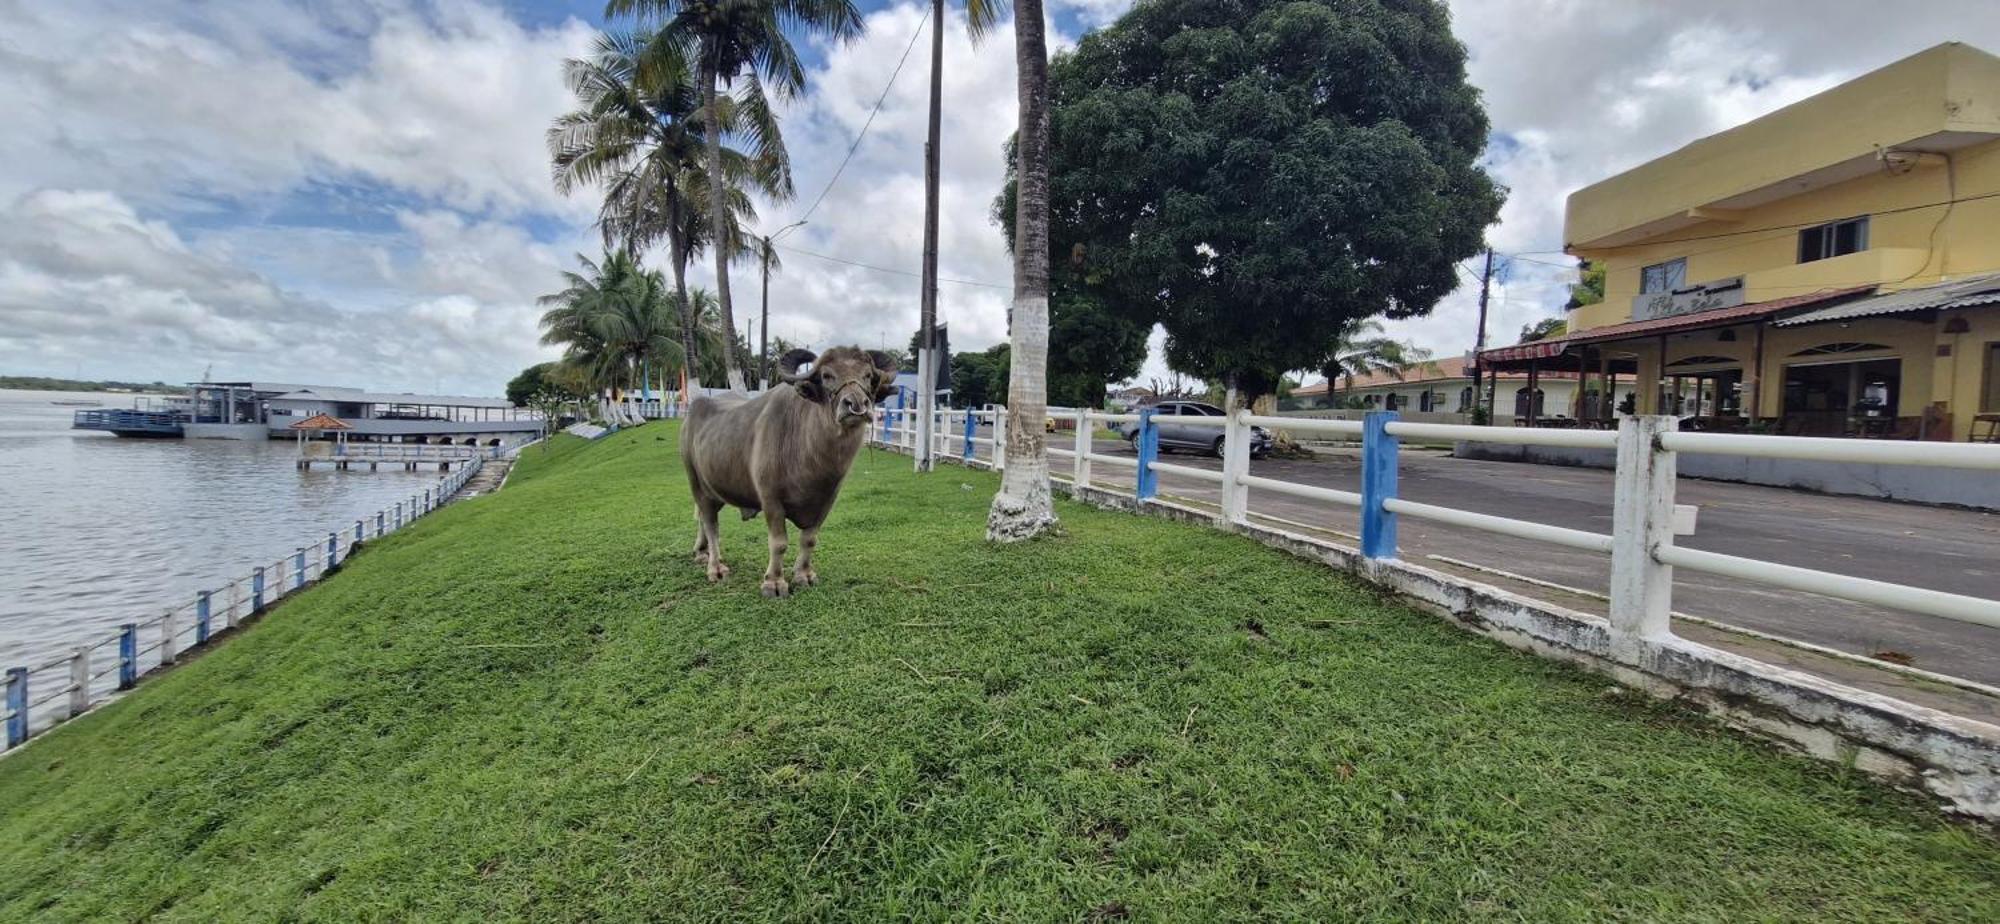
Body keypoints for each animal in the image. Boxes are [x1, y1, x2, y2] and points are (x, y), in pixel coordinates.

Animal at [680, 346, 900, 600]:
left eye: (867, 375)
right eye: (826, 375)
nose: (856, 404)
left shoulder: (826, 500)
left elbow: (809, 539)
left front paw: (804, 575)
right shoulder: (771, 499)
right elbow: (779, 543)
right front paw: (774, 583)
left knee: (703, 519)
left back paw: (701, 552)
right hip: (695, 481)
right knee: (711, 524)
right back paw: (715, 567)